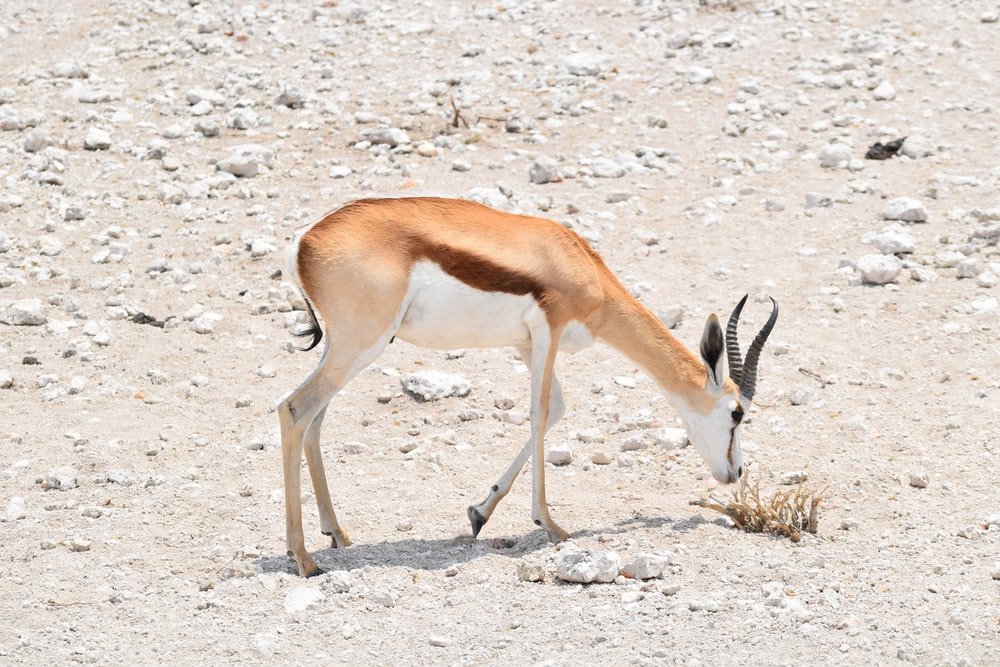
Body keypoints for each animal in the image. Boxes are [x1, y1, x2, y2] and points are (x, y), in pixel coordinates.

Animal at [279, 197, 778, 577]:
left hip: (347, 348)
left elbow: (554, 410)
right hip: (363, 343)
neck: (581, 266)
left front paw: (479, 513)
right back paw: (304, 559)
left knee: (316, 420)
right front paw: (550, 525)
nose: (735, 472)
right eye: (737, 413)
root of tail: (305, 241)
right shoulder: (547, 331)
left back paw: (336, 534)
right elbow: (539, 413)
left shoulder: (525, 343)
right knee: (295, 409)